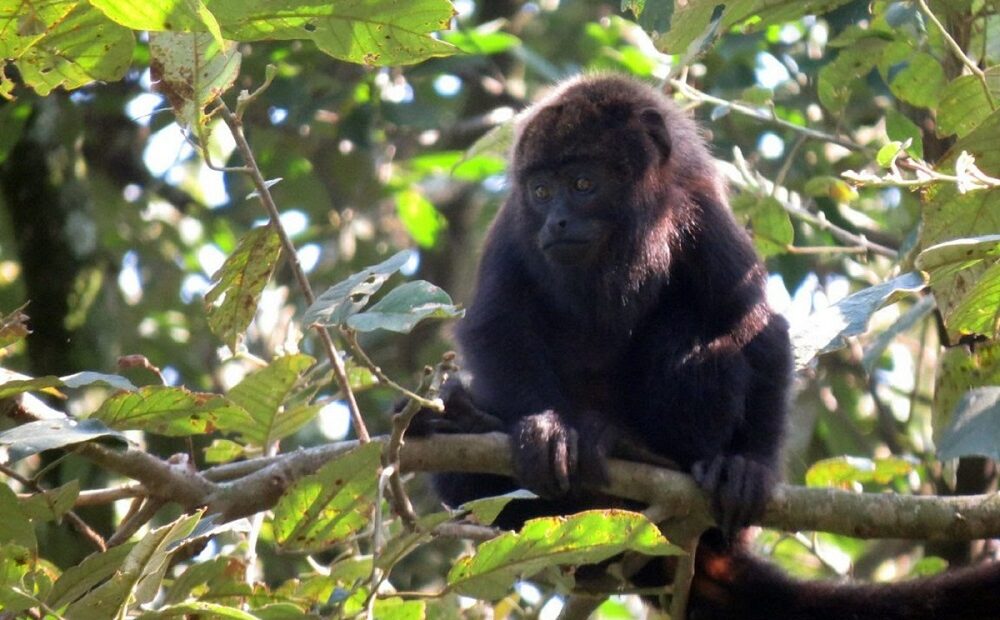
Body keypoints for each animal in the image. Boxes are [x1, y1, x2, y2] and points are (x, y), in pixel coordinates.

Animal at [412, 75, 1000, 616]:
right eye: (539, 191)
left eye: (582, 183)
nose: (555, 220)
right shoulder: (514, 227)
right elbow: (496, 326)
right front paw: (544, 429)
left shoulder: (698, 215)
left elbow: (756, 328)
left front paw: (748, 467)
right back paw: (460, 421)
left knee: (695, 332)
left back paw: (647, 454)